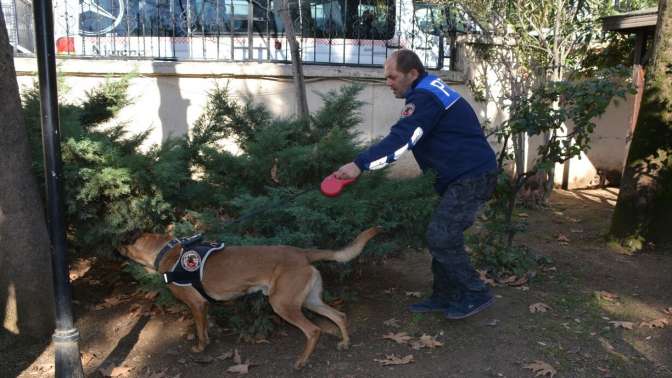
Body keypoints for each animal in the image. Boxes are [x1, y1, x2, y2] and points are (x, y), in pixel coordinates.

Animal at [119, 227, 380, 370]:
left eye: (122, 240)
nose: (114, 246)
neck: (166, 251)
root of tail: (303, 253)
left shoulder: (195, 304)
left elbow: (200, 331)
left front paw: (200, 347)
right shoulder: (203, 305)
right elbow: (206, 326)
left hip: (282, 304)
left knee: (314, 330)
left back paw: (302, 361)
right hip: (309, 301)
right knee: (339, 315)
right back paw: (345, 342)